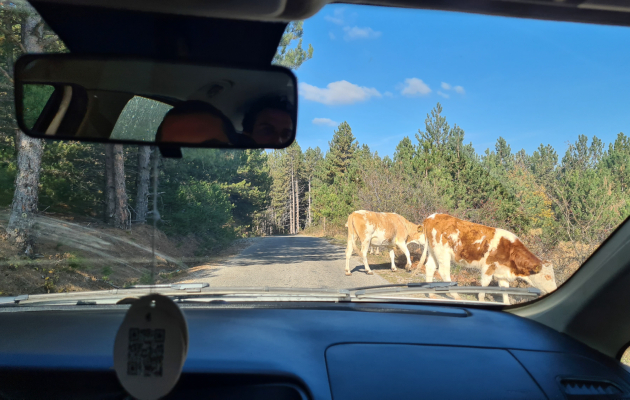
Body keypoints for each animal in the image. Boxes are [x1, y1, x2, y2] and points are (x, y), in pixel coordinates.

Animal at [420, 216, 556, 304]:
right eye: (547, 277)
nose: (554, 289)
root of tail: (433, 216)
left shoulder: (502, 273)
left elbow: (504, 289)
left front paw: (506, 303)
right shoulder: (489, 266)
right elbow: (485, 284)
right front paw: (481, 299)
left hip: (433, 251)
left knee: (430, 267)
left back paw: (431, 294)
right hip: (442, 253)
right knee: (444, 272)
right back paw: (456, 296)